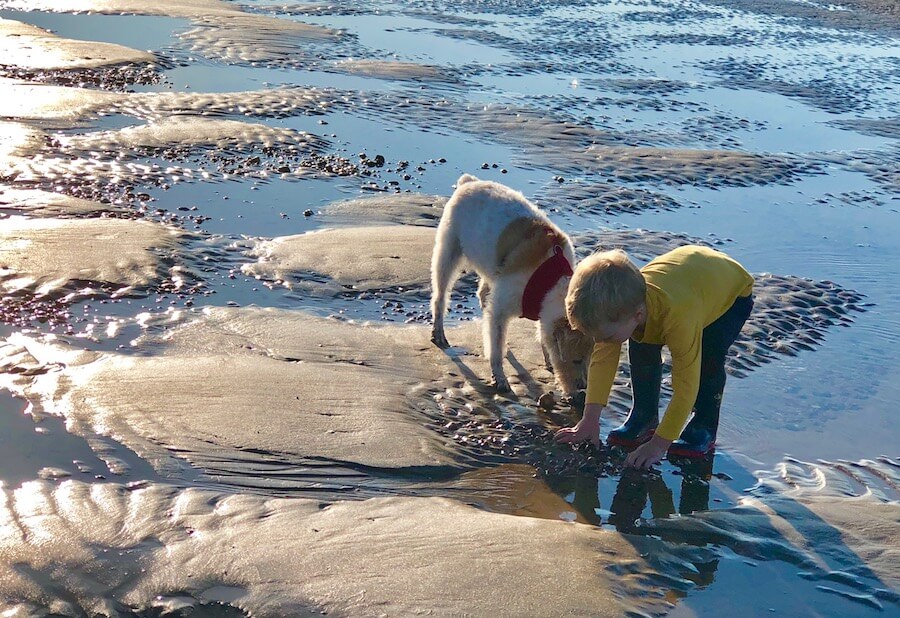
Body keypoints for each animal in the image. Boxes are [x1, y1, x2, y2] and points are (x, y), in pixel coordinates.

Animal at [428, 174, 592, 394]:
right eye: (576, 360)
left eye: (589, 360)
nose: (582, 391)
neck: (552, 281)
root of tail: (469, 182)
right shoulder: (501, 309)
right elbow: (496, 349)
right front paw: (500, 378)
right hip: (448, 251)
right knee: (440, 296)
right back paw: (439, 332)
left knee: (483, 292)